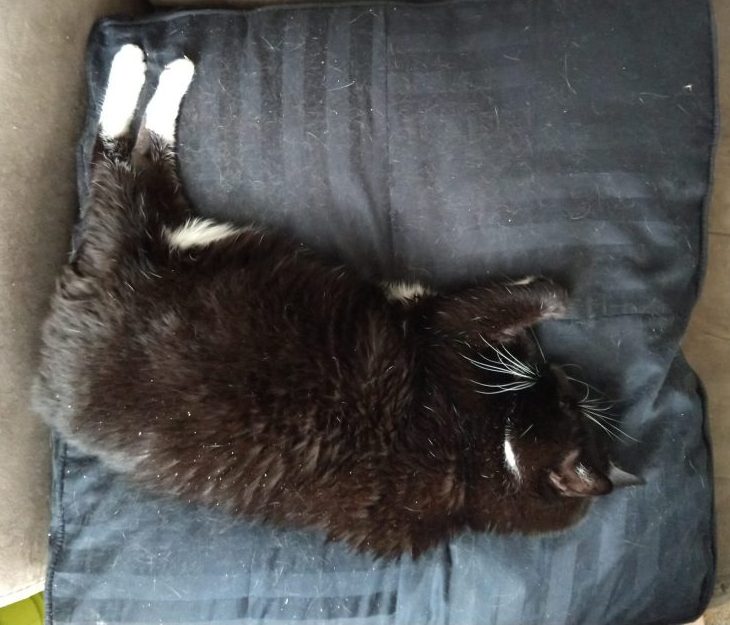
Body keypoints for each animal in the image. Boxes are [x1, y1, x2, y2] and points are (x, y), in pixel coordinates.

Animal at [32, 45, 636, 556]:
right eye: (568, 406)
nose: (560, 377)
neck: (484, 464)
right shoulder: (444, 324)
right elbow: (551, 293)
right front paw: (533, 325)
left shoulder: (440, 325)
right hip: (177, 234)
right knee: (120, 158)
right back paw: (148, 62)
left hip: (174, 233)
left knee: (126, 163)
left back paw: (151, 66)